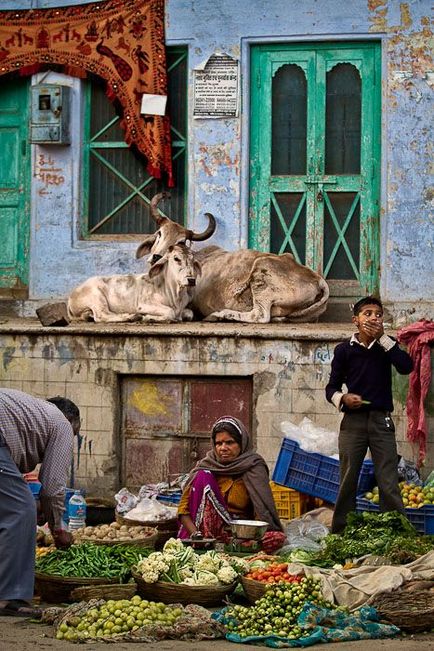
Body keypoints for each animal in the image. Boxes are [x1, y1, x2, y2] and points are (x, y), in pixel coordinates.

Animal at [68, 244, 202, 324]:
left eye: (192, 260)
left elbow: (189, 314)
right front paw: (148, 317)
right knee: (102, 316)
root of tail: (71, 296)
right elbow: (169, 312)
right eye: (176, 258)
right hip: (96, 297)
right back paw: (132, 316)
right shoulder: (144, 304)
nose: (191, 280)